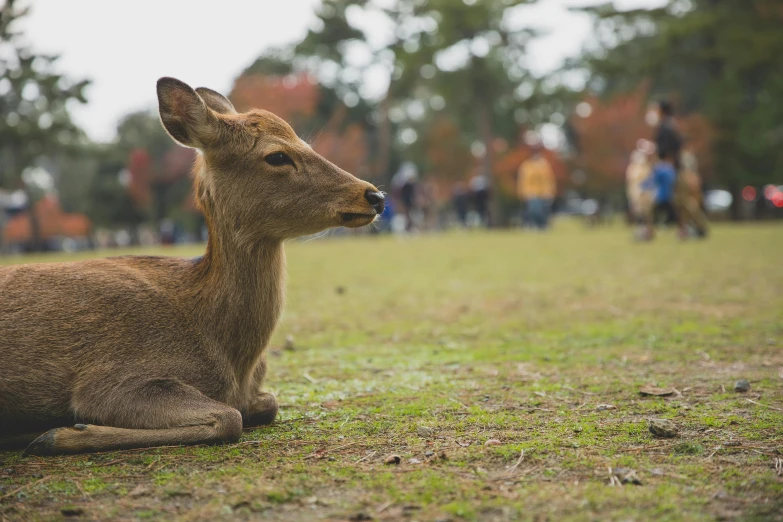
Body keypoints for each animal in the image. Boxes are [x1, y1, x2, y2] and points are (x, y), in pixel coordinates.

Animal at [0, 77, 386, 456]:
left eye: (306, 143)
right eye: (277, 155)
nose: (375, 195)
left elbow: (269, 404)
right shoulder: (110, 379)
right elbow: (230, 418)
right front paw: (58, 434)